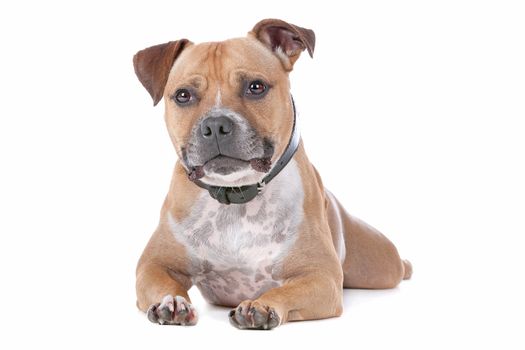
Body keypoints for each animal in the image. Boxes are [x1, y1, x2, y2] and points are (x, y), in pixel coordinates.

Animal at [133, 18, 412, 330]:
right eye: (183, 95)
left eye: (256, 87)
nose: (216, 124)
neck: (236, 195)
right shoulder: (153, 265)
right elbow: (164, 283)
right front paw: (172, 302)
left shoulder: (321, 277)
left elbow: (284, 291)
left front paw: (262, 305)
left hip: (380, 264)